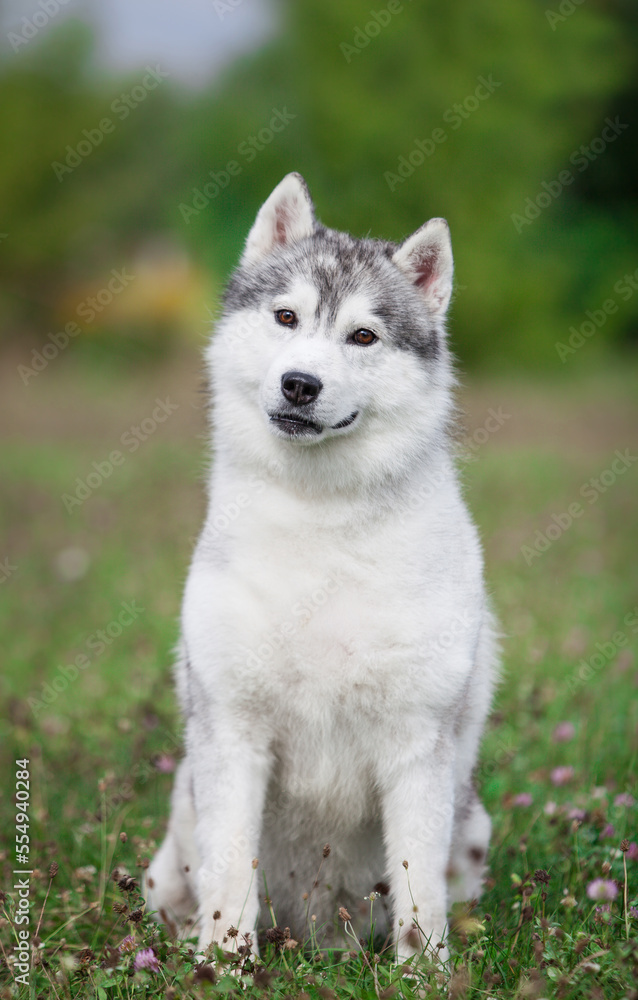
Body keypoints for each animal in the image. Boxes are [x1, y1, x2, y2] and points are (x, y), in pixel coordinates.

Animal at [148, 174, 502, 968]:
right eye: (286, 317)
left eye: (363, 336)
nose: (300, 384)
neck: (322, 521)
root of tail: (315, 937)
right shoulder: (234, 735)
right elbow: (230, 877)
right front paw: (224, 968)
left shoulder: (415, 745)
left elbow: (418, 894)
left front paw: (423, 975)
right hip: (173, 838)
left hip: (471, 830)